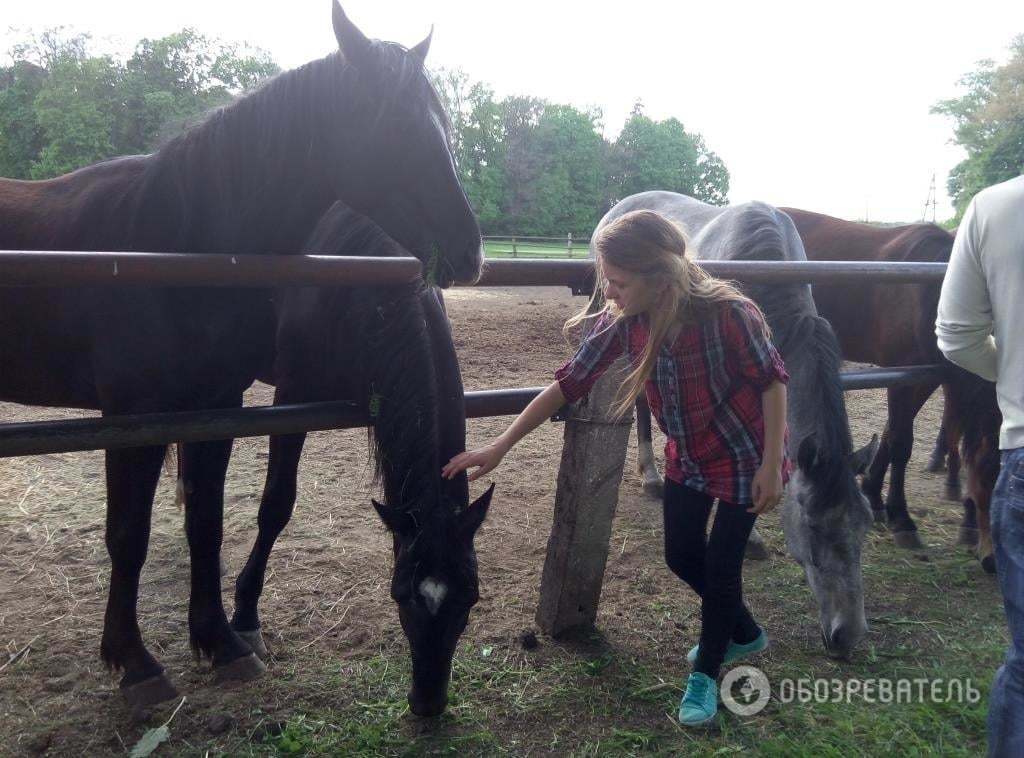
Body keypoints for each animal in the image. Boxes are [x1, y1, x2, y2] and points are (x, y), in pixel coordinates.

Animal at [1, 2, 479, 708]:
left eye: (468, 601)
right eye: (398, 128)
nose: (471, 250)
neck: (177, 245)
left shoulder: (219, 404)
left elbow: (208, 522)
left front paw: (220, 640)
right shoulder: (161, 413)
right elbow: (140, 533)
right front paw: (141, 659)